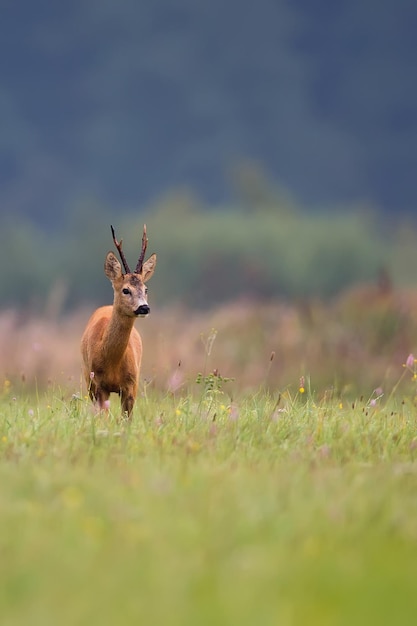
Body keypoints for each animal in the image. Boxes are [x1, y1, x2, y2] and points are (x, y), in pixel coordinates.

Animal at [80, 222, 155, 416]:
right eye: (125, 290)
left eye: (146, 289)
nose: (144, 307)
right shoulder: (99, 386)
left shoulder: (131, 385)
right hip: (87, 379)